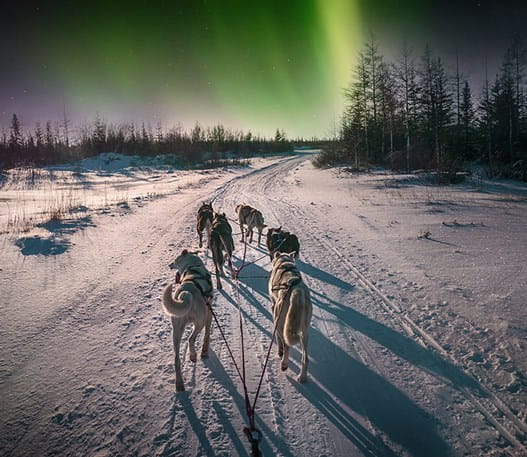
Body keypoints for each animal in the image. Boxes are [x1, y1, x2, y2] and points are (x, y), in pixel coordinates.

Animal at [162, 249, 213, 392]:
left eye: (175, 260)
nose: (170, 265)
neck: (192, 268)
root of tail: (185, 293)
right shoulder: (209, 313)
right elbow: (207, 334)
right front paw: (204, 351)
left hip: (176, 331)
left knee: (176, 359)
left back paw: (179, 384)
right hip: (199, 322)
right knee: (191, 339)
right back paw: (193, 356)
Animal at [270, 249, 312, 382]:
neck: (285, 262)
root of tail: (296, 290)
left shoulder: (273, 307)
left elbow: (278, 338)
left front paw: (279, 351)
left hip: (280, 321)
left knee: (286, 345)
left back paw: (284, 363)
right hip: (305, 332)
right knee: (305, 358)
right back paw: (302, 377)